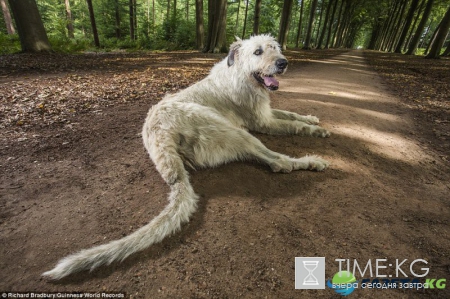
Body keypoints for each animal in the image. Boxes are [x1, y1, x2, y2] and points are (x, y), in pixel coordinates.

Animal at [42, 35, 330, 282]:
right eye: (258, 52)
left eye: (275, 48)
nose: (283, 62)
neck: (240, 74)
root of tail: (161, 140)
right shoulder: (262, 122)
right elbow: (292, 125)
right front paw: (316, 130)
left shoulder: (267, 113)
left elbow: (291, 114)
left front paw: (311, 118)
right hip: (232, 130)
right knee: (278, 162)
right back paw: (311, 161)